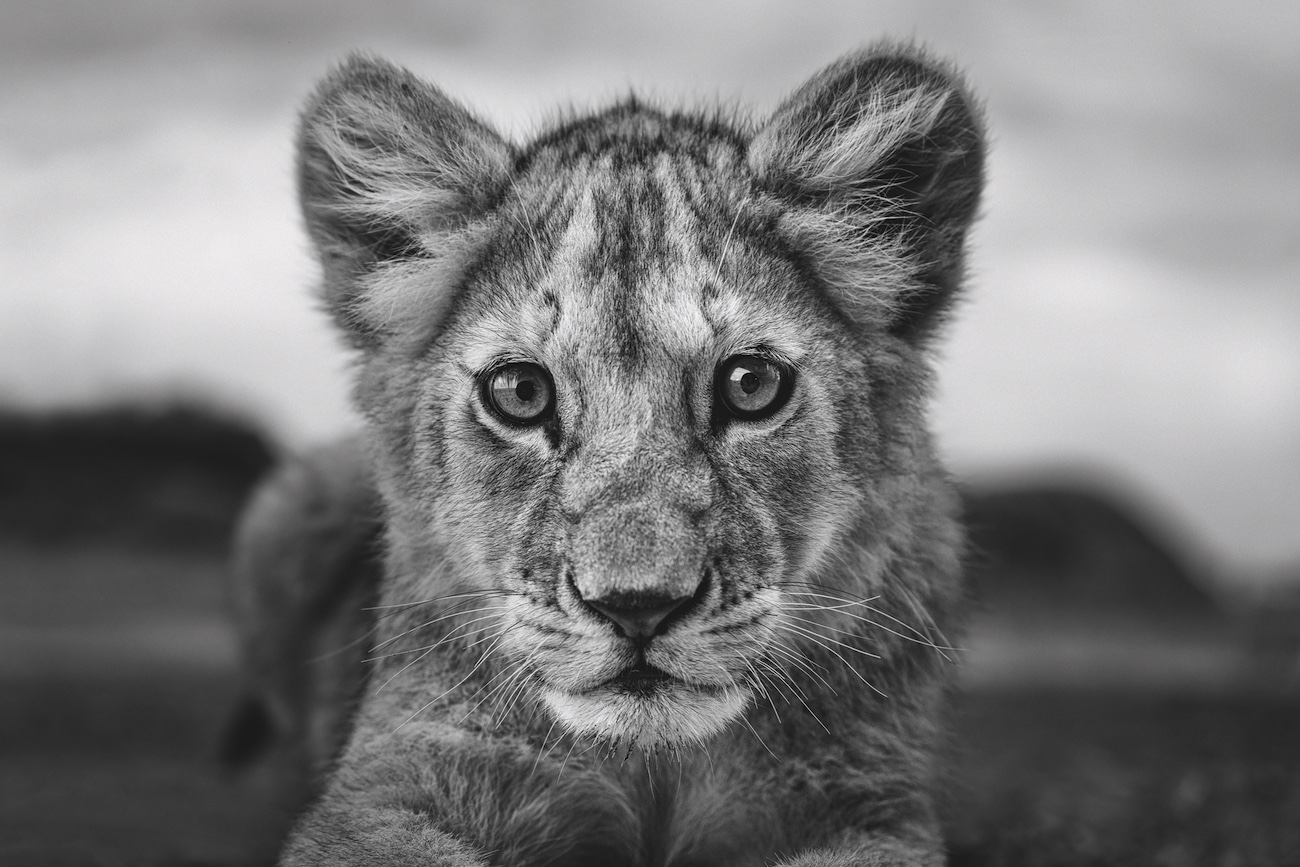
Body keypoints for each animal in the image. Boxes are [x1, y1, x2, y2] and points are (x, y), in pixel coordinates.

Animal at [230, 42, 985, 866]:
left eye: (751, 384)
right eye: (520, 391)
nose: (638, 607)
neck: (654, 765)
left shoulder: (863, 798)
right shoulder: (396, 780)